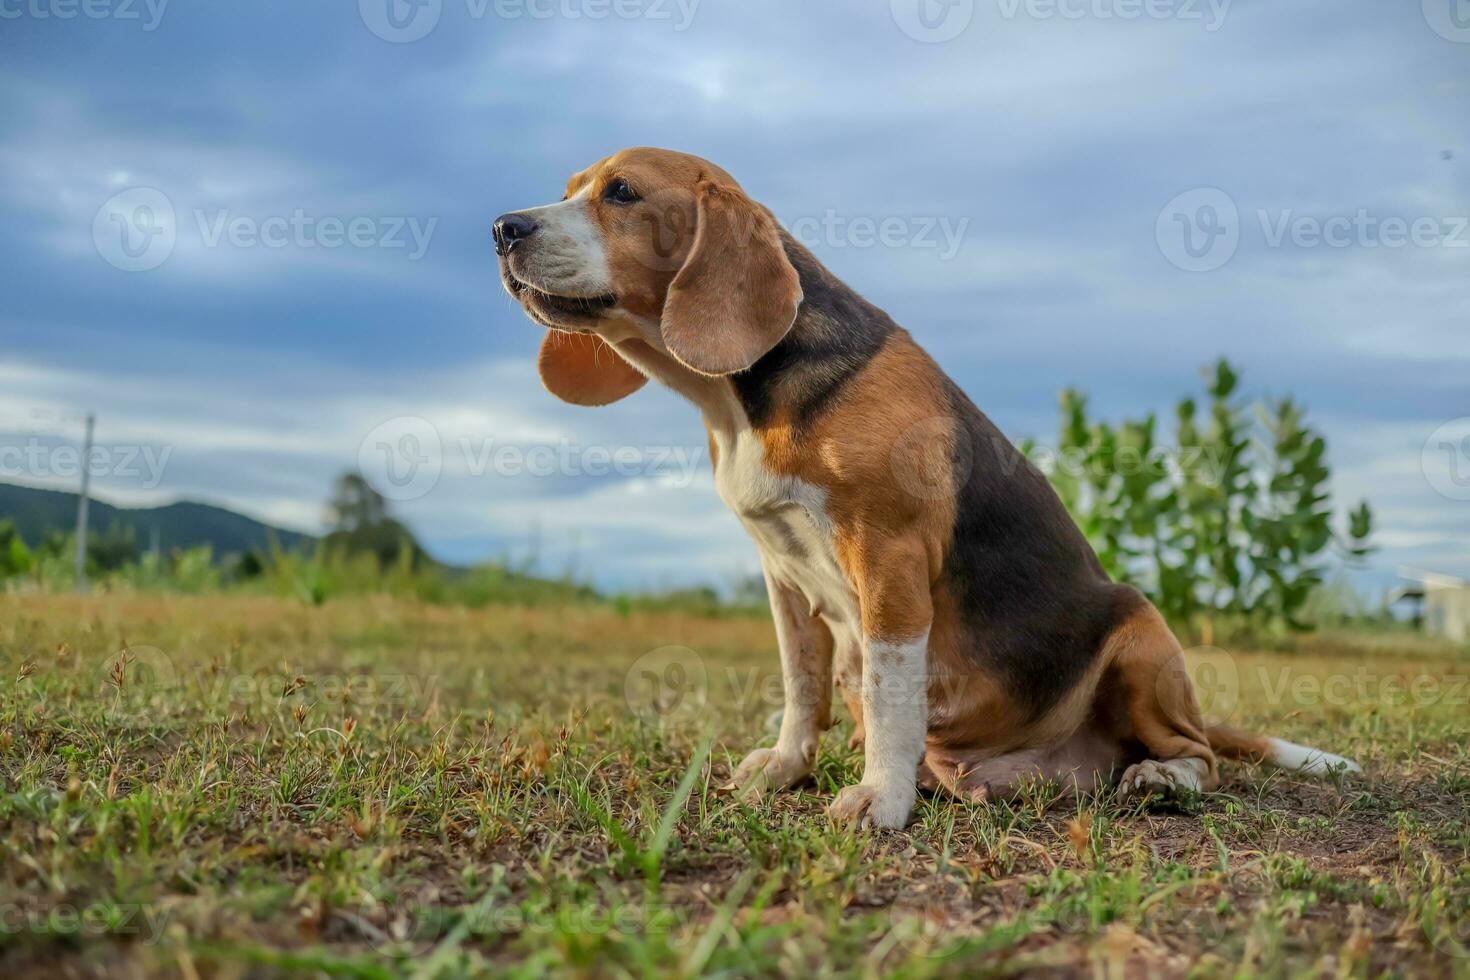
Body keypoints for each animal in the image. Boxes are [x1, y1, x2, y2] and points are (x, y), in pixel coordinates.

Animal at [496, 149, 1364, 834]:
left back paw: (1157, 777)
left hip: (1140, 632)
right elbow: (800, 685)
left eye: (621, 193)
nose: (504, 227)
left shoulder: (888, 557)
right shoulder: (783, 577)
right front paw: (787, 767)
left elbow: (890, 692)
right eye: (570, 188)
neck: (735, 403)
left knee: (1201, 755)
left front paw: (878, 799)